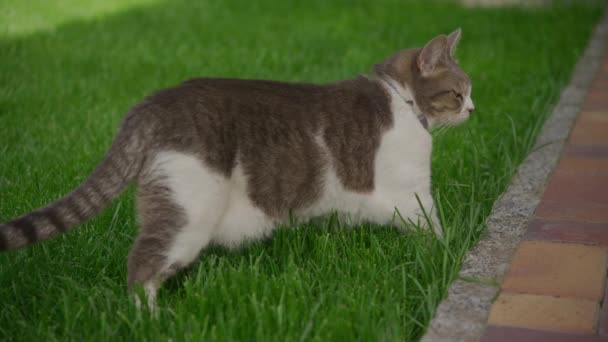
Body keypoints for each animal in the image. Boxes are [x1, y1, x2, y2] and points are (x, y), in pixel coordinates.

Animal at [0, 28, 476, 308]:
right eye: (457, 93)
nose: (474, 110)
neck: (402, 98)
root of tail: (152, 104)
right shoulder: (412, 193)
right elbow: (435, 227)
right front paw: (447, 252)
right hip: (189, 209)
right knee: (142, 264)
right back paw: (149, 320)